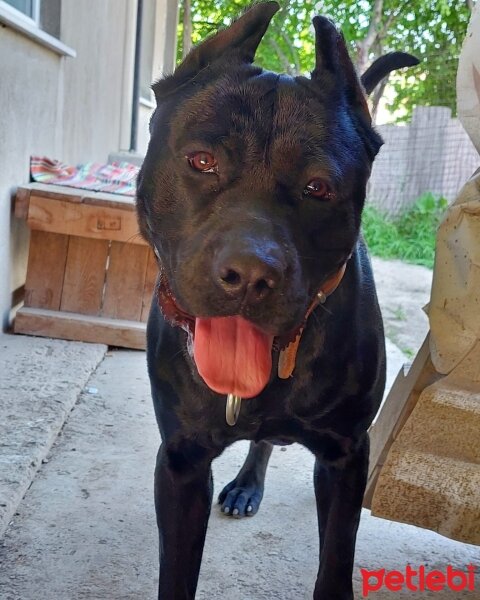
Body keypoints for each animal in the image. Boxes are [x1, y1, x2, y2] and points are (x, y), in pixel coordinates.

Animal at [135, 2, 416, 596]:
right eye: (201, 161)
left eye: (319, 188)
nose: (249, 275)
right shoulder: (180, 463)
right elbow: (177, 572)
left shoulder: (346, 457)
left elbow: (335, 560)